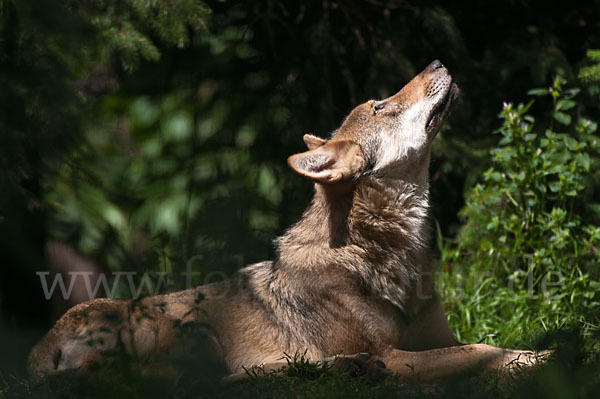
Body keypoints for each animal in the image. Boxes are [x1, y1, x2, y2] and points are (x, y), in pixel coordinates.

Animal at [28, 61, 548, 386]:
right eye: (380, 105)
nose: (438, 61)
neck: (384, 250)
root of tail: (39, 347)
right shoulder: (396, 356)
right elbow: (479, 350)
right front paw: (546, 358)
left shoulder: (435, 338)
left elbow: (489, 345)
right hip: (193, 332)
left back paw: (347, 369)